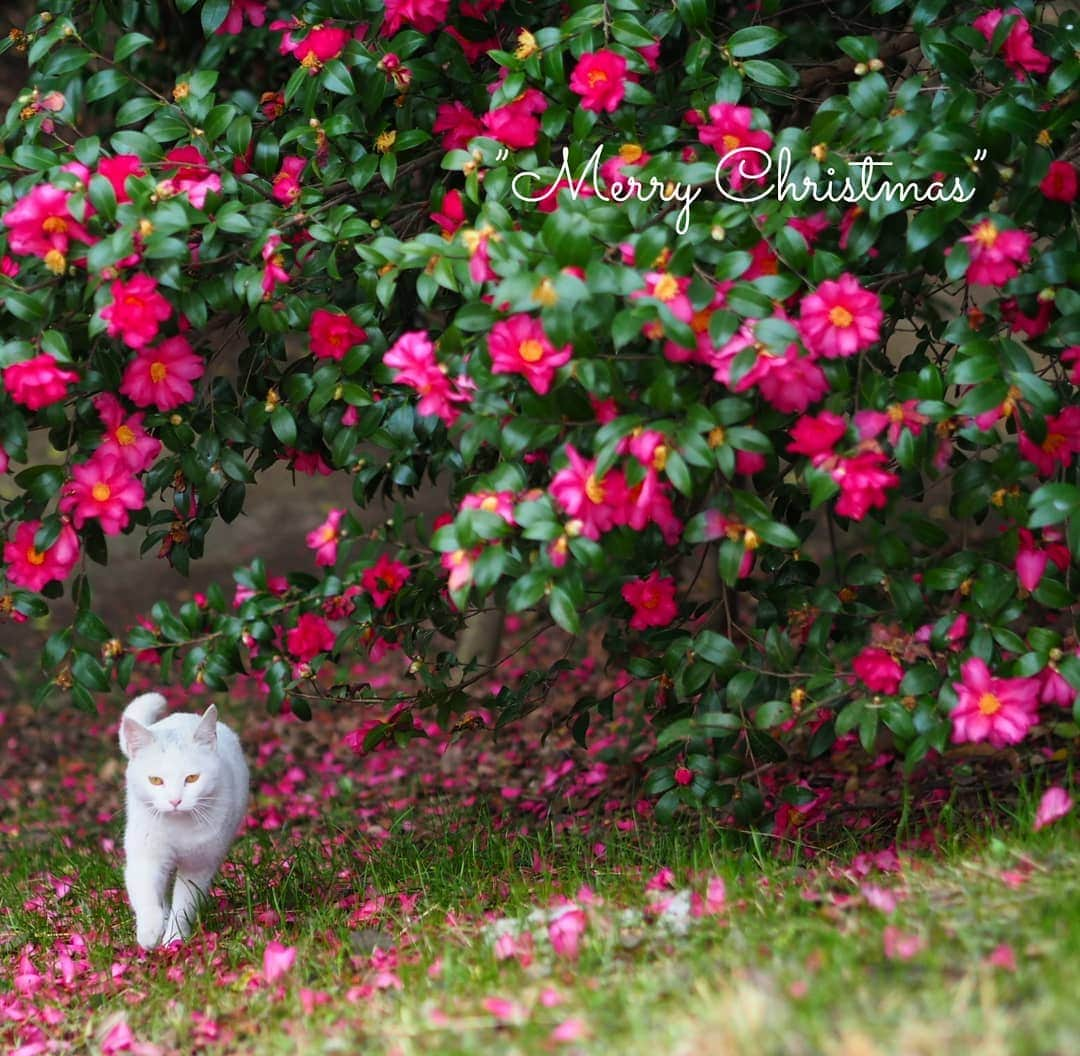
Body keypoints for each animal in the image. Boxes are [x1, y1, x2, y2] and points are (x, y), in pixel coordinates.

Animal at [119, 691, 249, 945]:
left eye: (192, 778)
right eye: (156, 780)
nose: (175, 801)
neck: (177, 828)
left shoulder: (199, 866)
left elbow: (184, 906)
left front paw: (174, 939)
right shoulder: (145, 856)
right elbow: (145, 894)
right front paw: (150, 931)